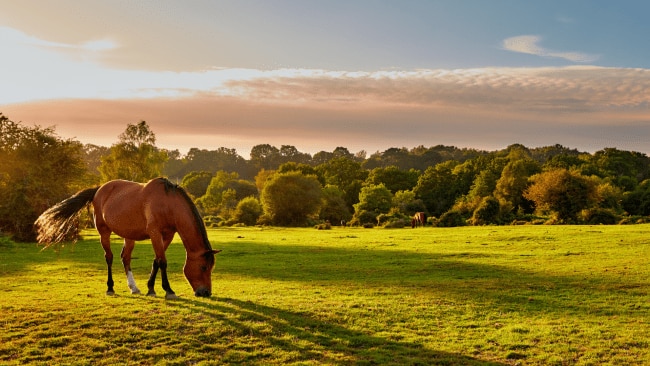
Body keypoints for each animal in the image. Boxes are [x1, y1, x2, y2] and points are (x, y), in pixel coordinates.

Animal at [35, 178, 220, 300]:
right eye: (203, 267)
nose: (206, 293)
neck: (168, 203)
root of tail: (99, 189)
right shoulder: (155, 233)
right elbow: (162, 261)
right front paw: (168, 290)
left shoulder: (167, 235)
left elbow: (156, 260)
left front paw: (150, 289)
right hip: (104, 232)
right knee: (109, 257)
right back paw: (110, 288)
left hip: (129, 236)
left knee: (125, 258)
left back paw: (134, 288)